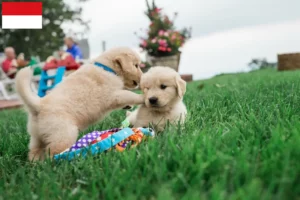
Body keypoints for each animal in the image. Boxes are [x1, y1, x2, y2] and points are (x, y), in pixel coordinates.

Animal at [16, 47, 145, 161]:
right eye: (136, 65)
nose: (143, 77)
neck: (107, 68)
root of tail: (38, 105)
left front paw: (129, 105)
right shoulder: (115, 95)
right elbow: (129, 95)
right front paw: (143, 97)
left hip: (37, 137)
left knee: (35, 152)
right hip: (65, 133)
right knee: (54, 153)